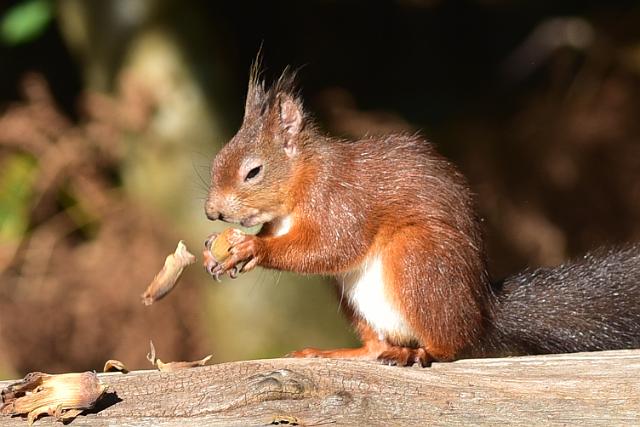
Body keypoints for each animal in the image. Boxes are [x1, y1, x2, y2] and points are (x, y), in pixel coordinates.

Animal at [203, 64, 640, 366]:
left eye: (253, 171)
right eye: (219, 158)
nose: (212, 212)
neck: (300, 182)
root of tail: (482, 312)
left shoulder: (340, 199)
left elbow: (331, 246)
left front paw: (252, 249)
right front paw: (215, 252)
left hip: (419, 258)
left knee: (455, 345)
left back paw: (423, 352)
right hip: (356, 298)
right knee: (377, 344)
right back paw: (343, 353)